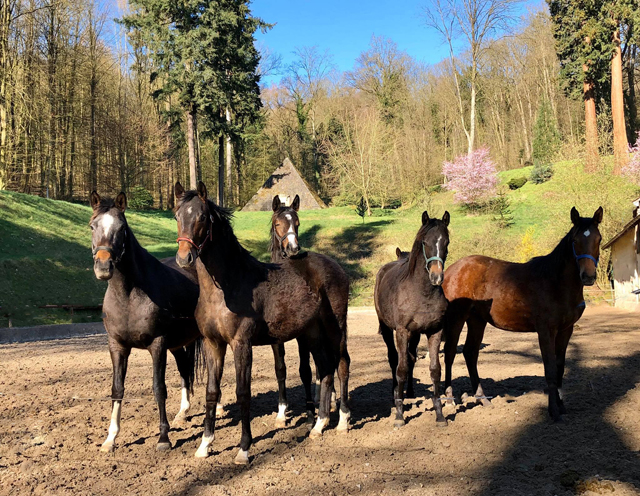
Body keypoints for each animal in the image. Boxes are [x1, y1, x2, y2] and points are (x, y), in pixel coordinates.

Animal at [89, 191, 201, 454]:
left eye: (121, 228)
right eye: (92, 226)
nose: (104, 267)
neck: (129, 295)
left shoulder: (158, 345)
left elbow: (159, 388)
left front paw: (163, 438)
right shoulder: (117, 346)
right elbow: (117, 388)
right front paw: (110, 438)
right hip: (178, 344)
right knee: (185, 370)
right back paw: (182, 413)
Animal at [172, 182, 350, 464]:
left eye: (201, 217)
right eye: (177, 216)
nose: (184, 257)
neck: (227, 286)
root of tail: (337, 267)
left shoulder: (241, 344)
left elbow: (243, 393)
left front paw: (244, 449)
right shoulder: (214, 344)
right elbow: (212, 392)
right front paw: (204, 445)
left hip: (335, 329)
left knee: (341, 365)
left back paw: (342, 421)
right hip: (312, 333)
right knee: (325, 370)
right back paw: (319, 425)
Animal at [376, 209, 450, 426]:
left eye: (446, 242)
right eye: (424, 242)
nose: (437, 277)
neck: (422, 293)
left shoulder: (434, 331)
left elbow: (435, 370)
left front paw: (439, 414)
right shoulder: (401, 331)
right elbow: (401, 368)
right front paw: (400, 414)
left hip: (415, 334)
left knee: (411, 358)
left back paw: (408, 392)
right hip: (387, 329)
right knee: (394, 359)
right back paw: (395, 393)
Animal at [442, 207, 604, 420]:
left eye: (598, 239)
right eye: (575, 240)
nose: (588, 276)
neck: (556, 282)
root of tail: (451, 270)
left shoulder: (566, 330)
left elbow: (560, 367)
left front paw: (561, 406)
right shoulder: (546, 331)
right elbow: (550, 369)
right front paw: (553, 411)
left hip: (477, 320)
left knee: (470, 352)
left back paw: (483, 399)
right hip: (456, 319)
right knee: (450, 353)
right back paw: (450, 400)